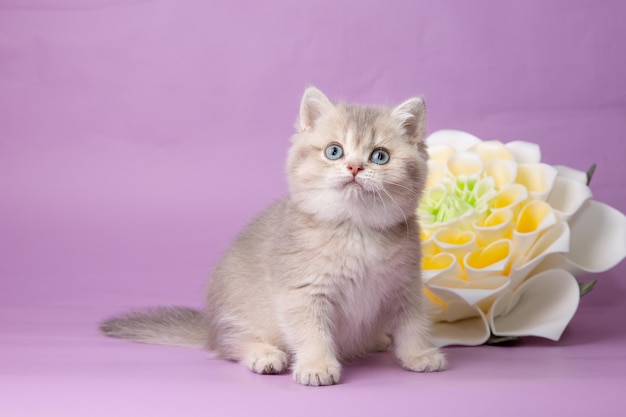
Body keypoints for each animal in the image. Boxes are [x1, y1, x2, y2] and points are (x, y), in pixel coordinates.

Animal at [100, 86, 444, 386]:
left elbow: (412, 323)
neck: (355, 230)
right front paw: (317, 366)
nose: (355, 167)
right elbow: (312, 331)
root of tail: (209, 326)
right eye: (334, 151)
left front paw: (419, 354)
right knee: (229, 344)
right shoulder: (302, 292)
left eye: (380, 156)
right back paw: (263, 354)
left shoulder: (405, 286)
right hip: (237, 315)